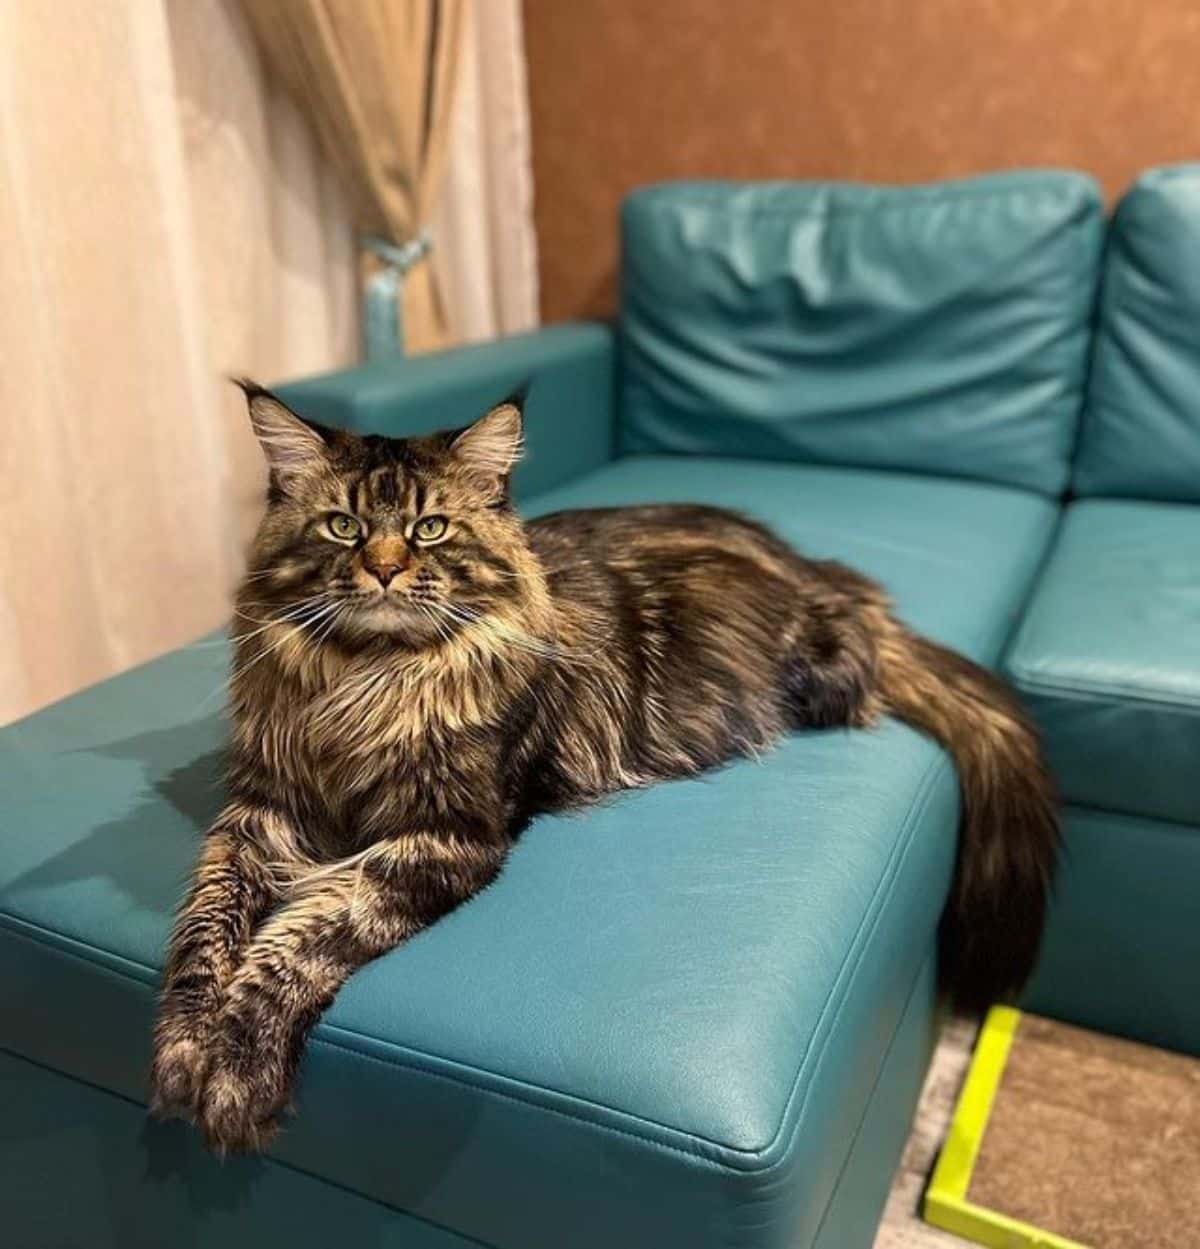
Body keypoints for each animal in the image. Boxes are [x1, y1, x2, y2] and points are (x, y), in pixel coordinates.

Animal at [152, 382, 1058, 1149]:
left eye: (428, 529)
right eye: (342, 525)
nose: (381, 568)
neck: (367, 679)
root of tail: (815, 566)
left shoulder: (446, 835)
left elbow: (306, 934)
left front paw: (235, 1072)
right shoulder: (259, 813)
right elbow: (203, 927)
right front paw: (182, 1047)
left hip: (821, 671)